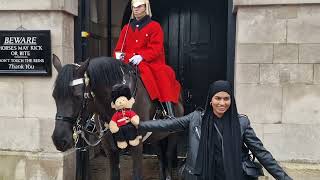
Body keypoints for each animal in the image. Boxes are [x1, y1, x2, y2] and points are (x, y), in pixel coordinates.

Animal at [51, 55, 184, 180]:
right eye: (54, 96)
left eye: (78, 96)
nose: (59, 140)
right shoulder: (109, 148)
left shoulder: (136, 145)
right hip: (155, 136)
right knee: (160, 155)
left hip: (174, 133)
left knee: (168, 154)